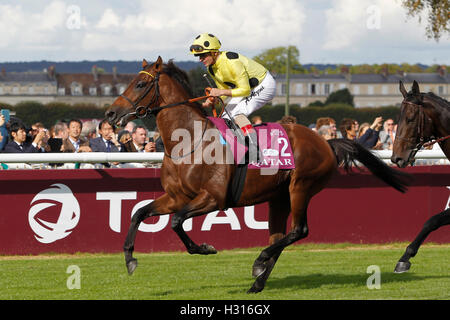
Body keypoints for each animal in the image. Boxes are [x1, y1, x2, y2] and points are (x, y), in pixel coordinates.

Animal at [105, 57, 412, 292]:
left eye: (140, 84)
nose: (110, 114)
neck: (189, 140)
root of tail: (326, 142)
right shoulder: (176, 197)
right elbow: (139, 213)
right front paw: (130, 260)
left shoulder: (213, 198)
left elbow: (177, 222)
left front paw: (205, 248)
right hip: (279, 197)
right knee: (279, 238)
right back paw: (258, 279)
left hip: (300, 187)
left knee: (299, 230)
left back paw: (259, 261)